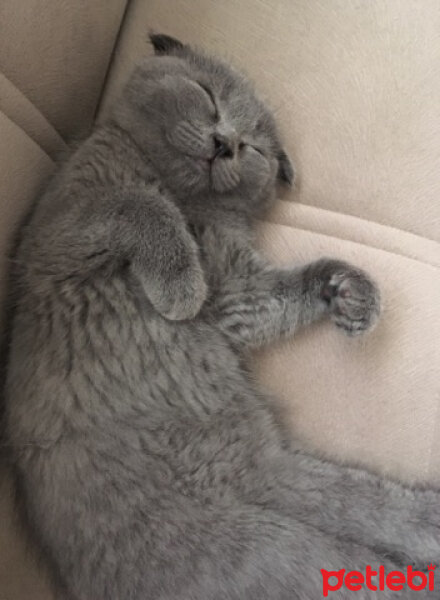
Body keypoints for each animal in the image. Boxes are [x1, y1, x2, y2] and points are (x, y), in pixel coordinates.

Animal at [4, 34, 440, 600]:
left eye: (253, 147)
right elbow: (139, 203)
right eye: (208, 96)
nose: (225, 142)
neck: (187, 199)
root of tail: (253, 478)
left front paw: (347, 289)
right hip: (268, 542)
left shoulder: (232, 285)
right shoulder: (61, 231)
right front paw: (182, 288)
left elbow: (262, 297)